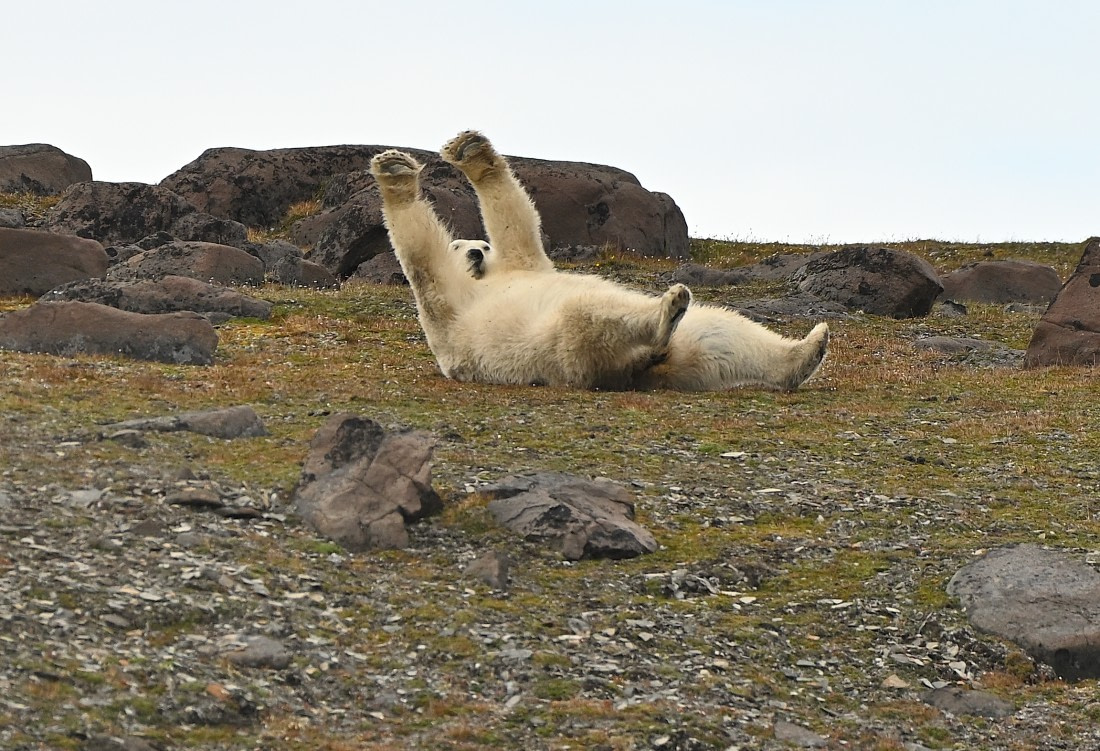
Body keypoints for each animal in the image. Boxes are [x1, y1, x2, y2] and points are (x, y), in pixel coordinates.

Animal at [370, 131, 829, 391]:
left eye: (480, 242)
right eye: (459, 246)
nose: (476, 253)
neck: (483, 282)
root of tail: (642, 366)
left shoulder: (521, 264)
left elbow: (516, 226)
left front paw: (472, 151)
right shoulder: (449, 310)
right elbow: (423, 258)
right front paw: (395, 172)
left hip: (680, 353)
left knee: (723, 333)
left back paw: (807, 349)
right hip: (567, 350)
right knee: (594, 315)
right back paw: (668, 308)